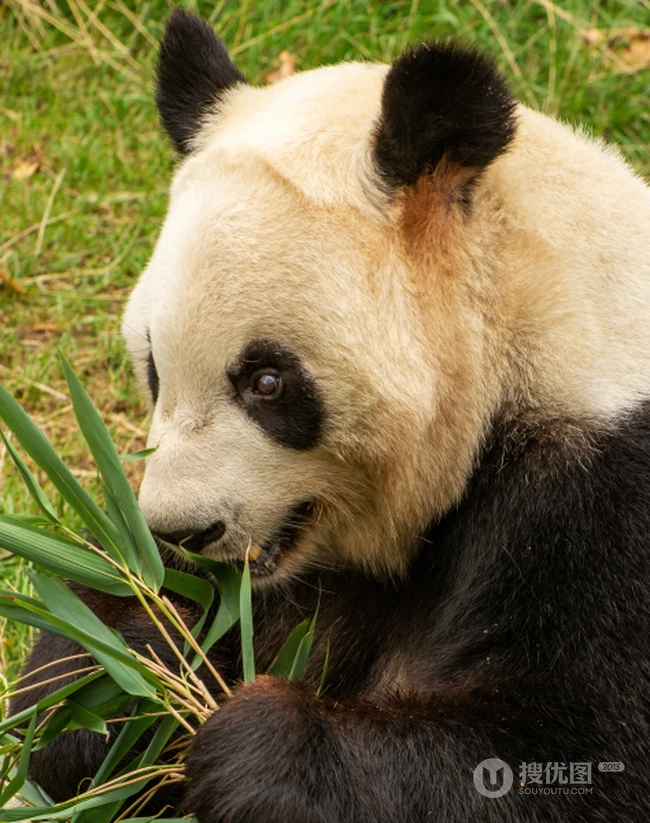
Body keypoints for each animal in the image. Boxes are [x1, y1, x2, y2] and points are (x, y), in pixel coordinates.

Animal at [12, 8, 650, 822]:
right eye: (153, 367)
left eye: (268, 382)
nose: (182, 533)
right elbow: (80, 650)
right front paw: (129, 679)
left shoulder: (604, 497)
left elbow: (565, 747)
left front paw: (252, 748)